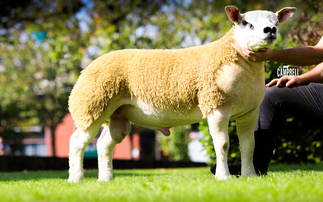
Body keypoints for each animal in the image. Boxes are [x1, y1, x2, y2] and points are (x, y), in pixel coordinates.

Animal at [67, 5, 298, 182]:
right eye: (247, 23)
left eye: (276, 21)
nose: (270, 30)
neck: (235, 60)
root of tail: (87, 67)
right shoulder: (215, 105)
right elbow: (223, 144)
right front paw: (223, 177)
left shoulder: (249, 112)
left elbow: (249, 146)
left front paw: (250, 176)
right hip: (91, 106)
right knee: (77, 142)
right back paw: (76, 178)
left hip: (117, 115)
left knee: (104, 144)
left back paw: (105, 179)